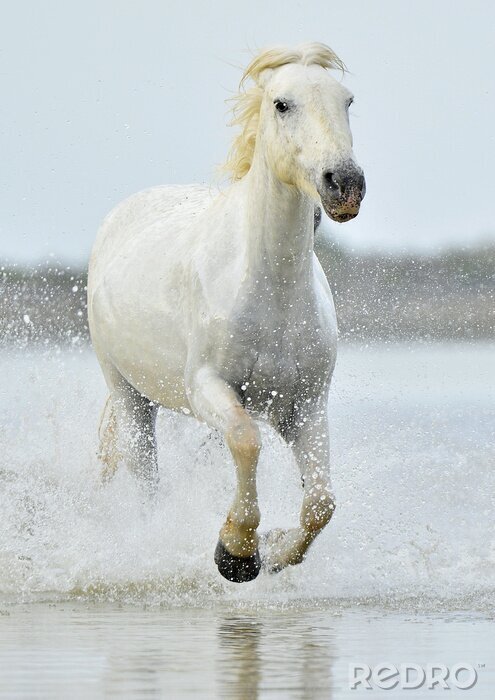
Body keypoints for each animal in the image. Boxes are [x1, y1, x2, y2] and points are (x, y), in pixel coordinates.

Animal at [87, 42, 365, 583]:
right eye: (282, 104)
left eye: (347, 101)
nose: (344, 184)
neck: (271, 291)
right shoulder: (207, 388)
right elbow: (246, 440)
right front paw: (235, 553)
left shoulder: (305, 406)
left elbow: (321, 502)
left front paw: (273, 551)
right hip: (130, 396)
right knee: (147, 482)